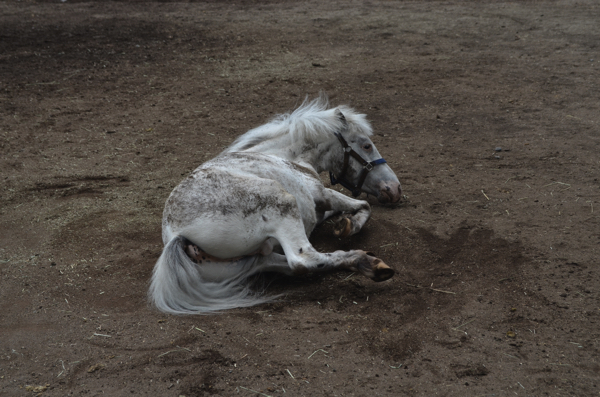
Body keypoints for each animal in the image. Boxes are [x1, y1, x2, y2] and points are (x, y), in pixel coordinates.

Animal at [149, 95, 404, 312]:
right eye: (366, 145)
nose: (394, 189)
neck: (284, 155)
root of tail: (178, 236)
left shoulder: (314, 206)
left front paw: (344, 223)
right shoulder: (320, 193)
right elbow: (363, 206)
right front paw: (348, 226)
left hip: (246, 263)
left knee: (281, 264)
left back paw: (366, 263)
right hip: (283, 204)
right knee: (303, 261)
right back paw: (365, 262)